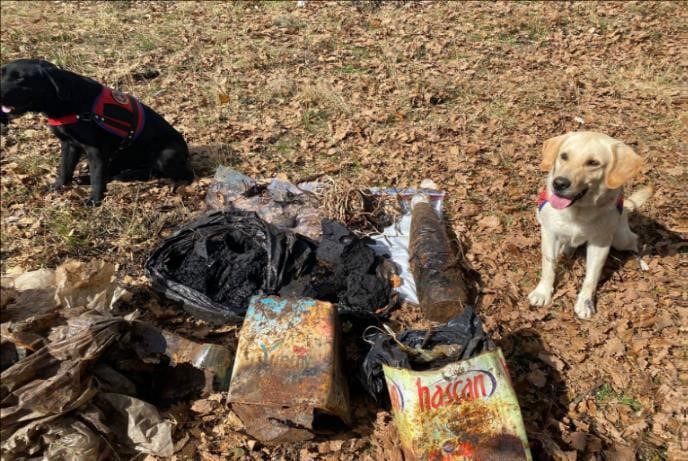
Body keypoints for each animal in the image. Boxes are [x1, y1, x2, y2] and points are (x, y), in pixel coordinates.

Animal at [0, 58, 194, 203]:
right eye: (2, 75)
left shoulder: (96, 150)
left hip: (166, 156)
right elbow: (65, 169)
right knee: (115, 171)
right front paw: (58, 187)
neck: (66, 102)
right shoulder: (69, 145)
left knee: (166, 171)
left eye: (21, 79)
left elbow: (97, 177)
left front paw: (95, 200)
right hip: (119, 155)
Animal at [528, 131, 652, 318]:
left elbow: (591, 277)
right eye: (564, 156)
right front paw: (542, 293)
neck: (577, 212)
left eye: (593, 163)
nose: (559, 183)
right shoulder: (549, 233)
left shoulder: (600, 244)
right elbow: (549, 266)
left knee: (635, 241)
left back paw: (642, 262)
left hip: (620, 239)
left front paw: (585, 304)